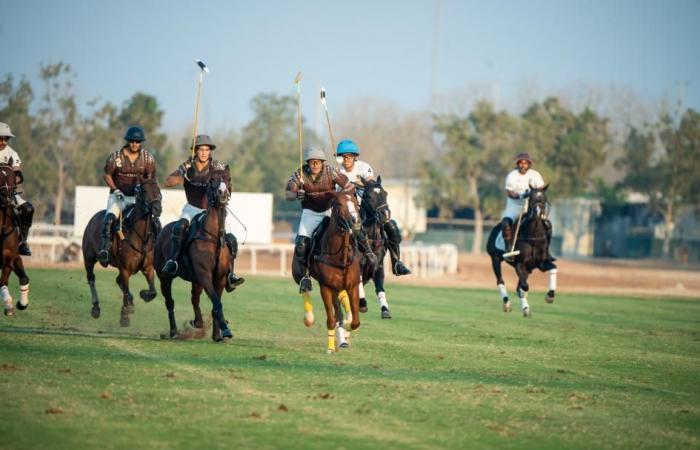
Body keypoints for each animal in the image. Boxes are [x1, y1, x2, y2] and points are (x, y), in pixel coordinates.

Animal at [82, 179, 163, 326]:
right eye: (144, 190)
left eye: (158, 190)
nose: (157, 209)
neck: (140, 236)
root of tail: (94, 218)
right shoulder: (125, 269)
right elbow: (125, 291)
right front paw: (124, 317)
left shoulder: (148, 267)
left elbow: (153, 291)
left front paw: (142, 295)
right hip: (88, 258)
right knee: (91, 278)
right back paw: (96, 307)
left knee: (117, 280)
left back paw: (131, 303)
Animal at [155, 168, 237, 342]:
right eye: (212, 180)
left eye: (228, 179)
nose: (222, 194)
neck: (213, 236)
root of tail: (163, 230)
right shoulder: (204, 274)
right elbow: (216, 303)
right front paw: (226, 330)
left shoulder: (219, 277)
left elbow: (215, 303)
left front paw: (217, 334)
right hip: (164, 277)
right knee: (170, 302)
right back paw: (174, 331)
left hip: (195, 280)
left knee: (194, 298)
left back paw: (197, 322)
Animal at [302, 188, 364, 354]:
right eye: (340, 204)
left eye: (356, 203)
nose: (356, 222)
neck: (339, 257)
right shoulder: (326, 287)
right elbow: (332, 319)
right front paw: (331, 347)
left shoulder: (353, 286)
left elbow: (354, 321)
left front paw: (347, 331)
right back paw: (309, 317)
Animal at [486, 183, 556, 316]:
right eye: (531, 198)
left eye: (544, 198)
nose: (538, 213)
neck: (533, 236)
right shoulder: (520, 264)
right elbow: (524, 286)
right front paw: (525, 307)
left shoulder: (540, 264)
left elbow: (553, 268)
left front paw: (550, 296)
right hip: (495, 259)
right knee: (500, 281)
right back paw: (507, 304)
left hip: (527, 269)